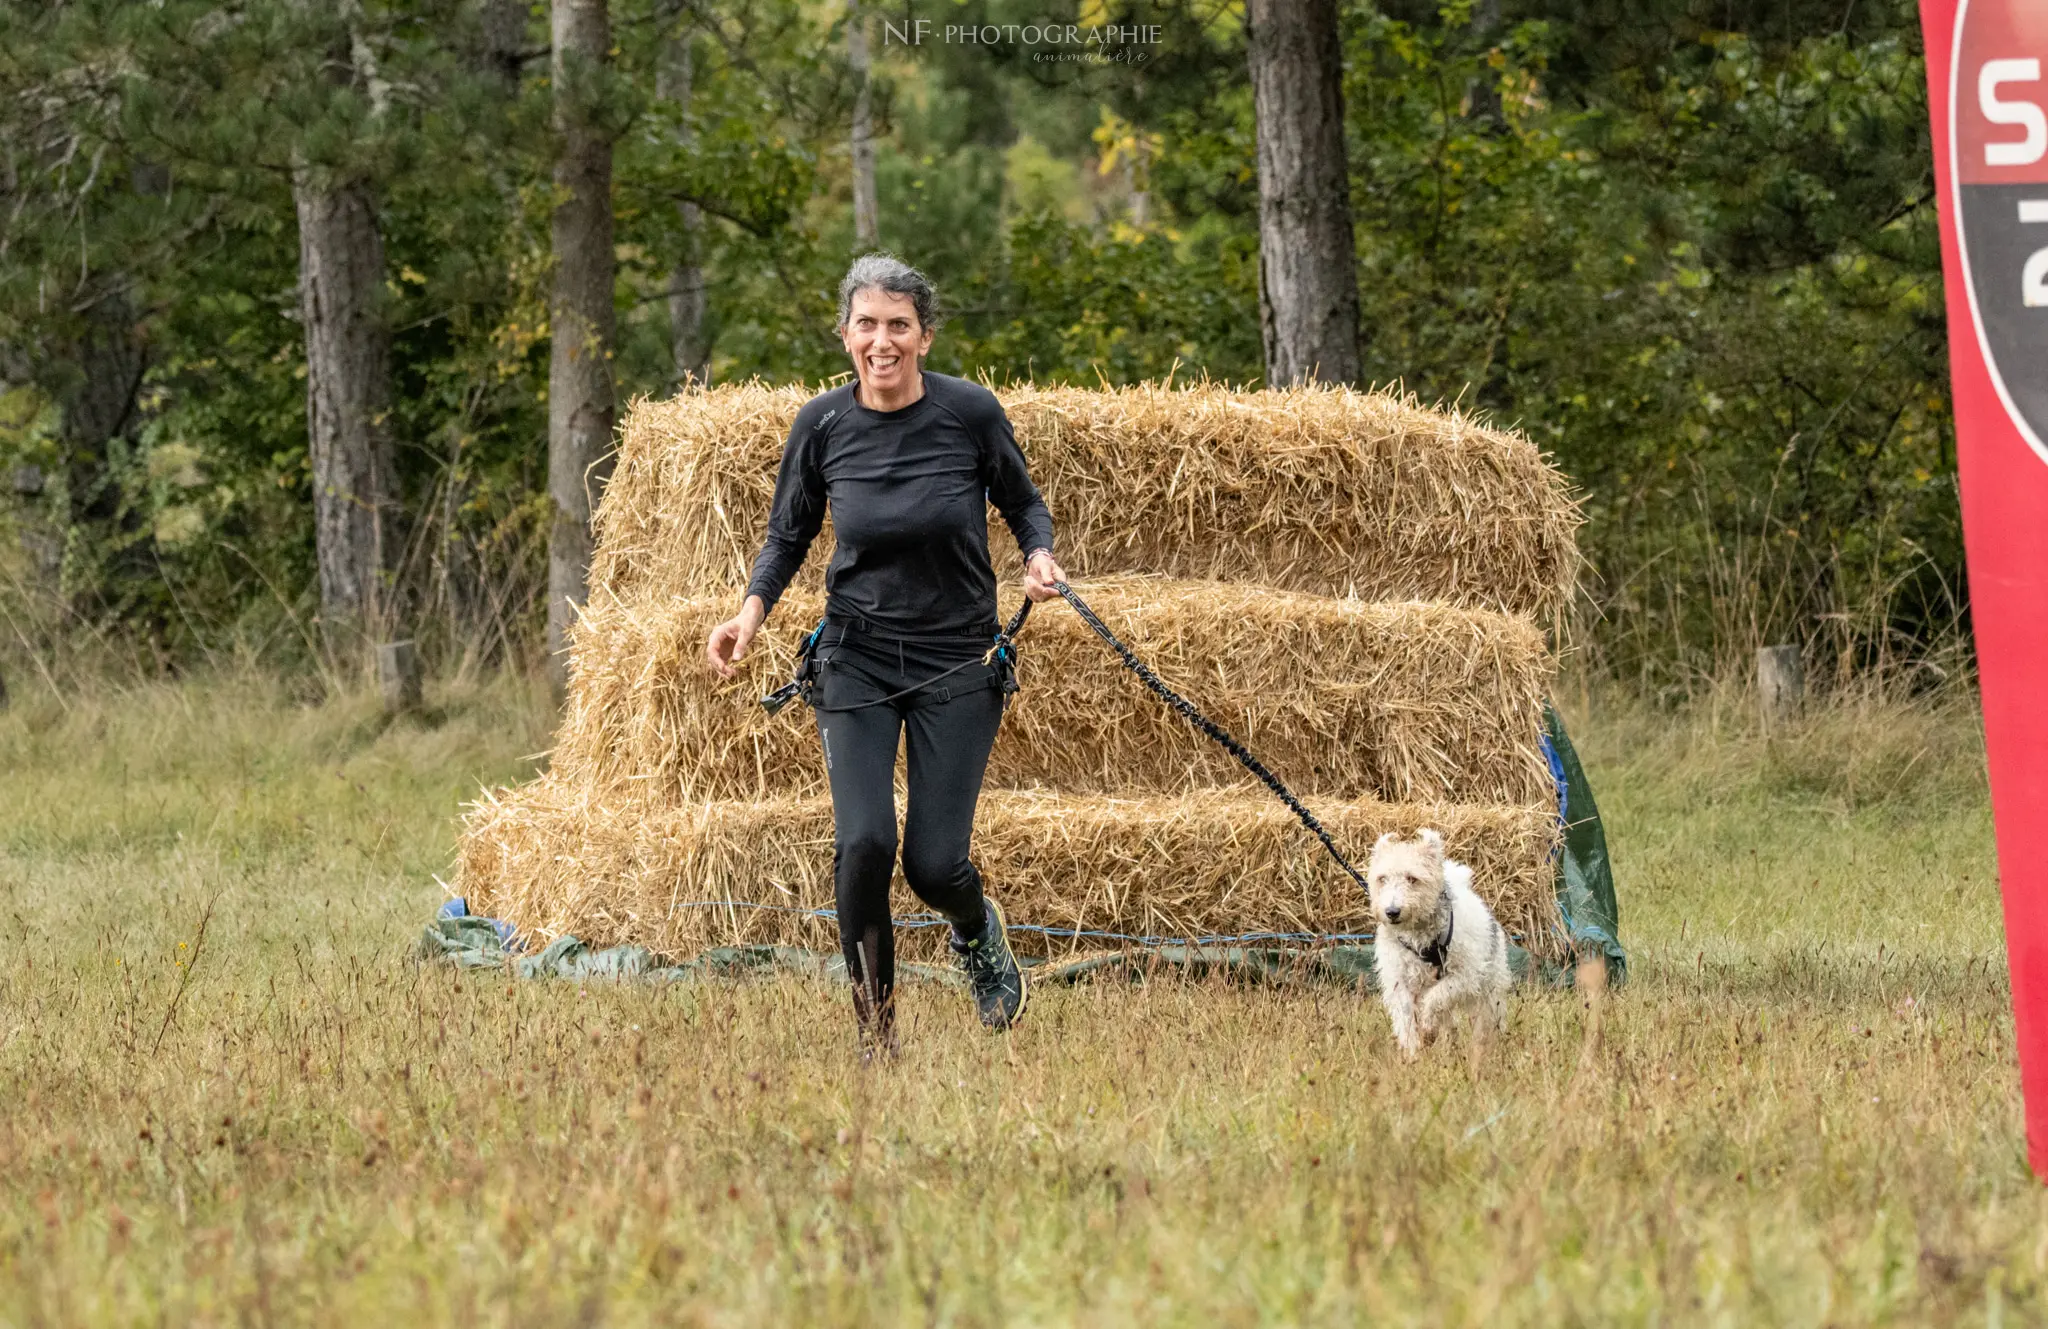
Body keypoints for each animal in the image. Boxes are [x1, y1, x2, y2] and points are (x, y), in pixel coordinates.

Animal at [1368, 827, 1515, 1056]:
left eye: (1412, 878)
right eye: (1382, 878)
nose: (1392, 911)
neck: (1420, 936)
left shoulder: (1464, 976)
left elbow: (1435, 998)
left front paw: (1427, 1028)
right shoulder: (1400, 981)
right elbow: (1407, 1019)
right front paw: (1412, 1053)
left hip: (1490, 991)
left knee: (1486, 1021)